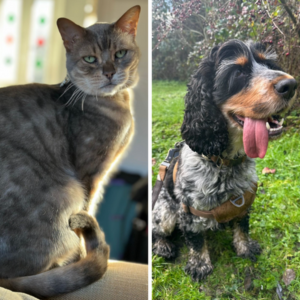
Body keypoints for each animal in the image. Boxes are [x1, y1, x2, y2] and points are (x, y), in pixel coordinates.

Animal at [0, 5, 141, 298]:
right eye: (90, 59)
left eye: (120, 54)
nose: (109, 72)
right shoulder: (90, 175)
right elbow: (90, 207)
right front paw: (84, 253)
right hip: (67, 190)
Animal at [154, 39, 296, 282]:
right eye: (238, 72)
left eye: (268, 64)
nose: (292, 85)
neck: (224, 162)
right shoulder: (189, 211)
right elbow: (196, 240)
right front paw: (200, 265)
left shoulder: (243, 202)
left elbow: (242, 227)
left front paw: (245, 248)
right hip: (164, 211)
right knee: (157, 231)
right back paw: (163, 246)